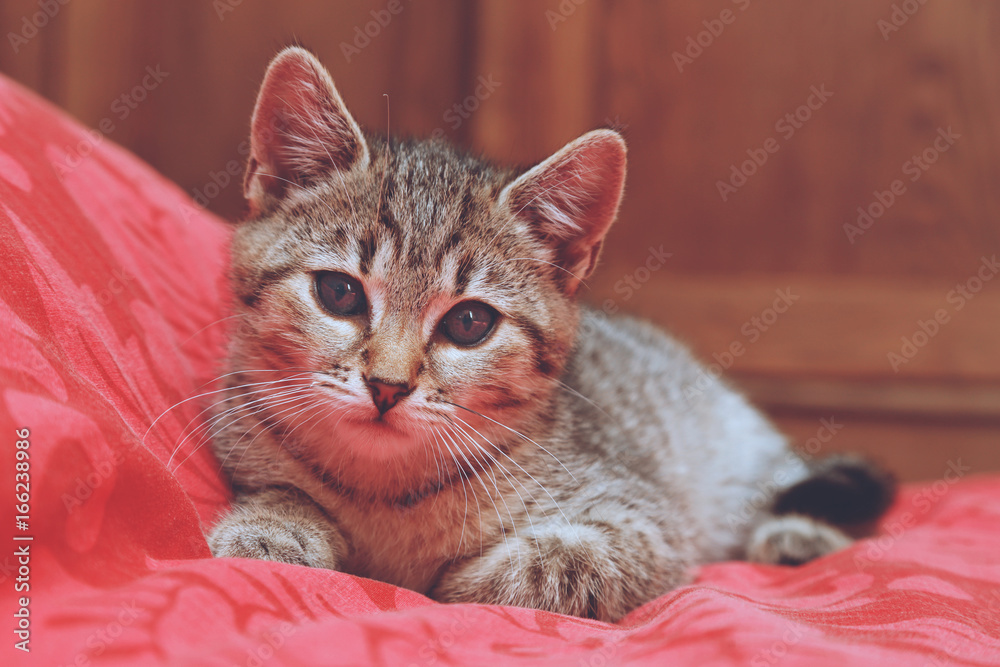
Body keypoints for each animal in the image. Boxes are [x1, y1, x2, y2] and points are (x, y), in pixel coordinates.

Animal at [207, 48, 896, 628]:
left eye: (469, 323)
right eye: (339, 293)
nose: (387, 385)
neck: (387, 492)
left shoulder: (644, 518)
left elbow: (557, 564)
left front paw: (454, 582)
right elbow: (281, 491)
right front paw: (273, 528)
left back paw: (799, 535)